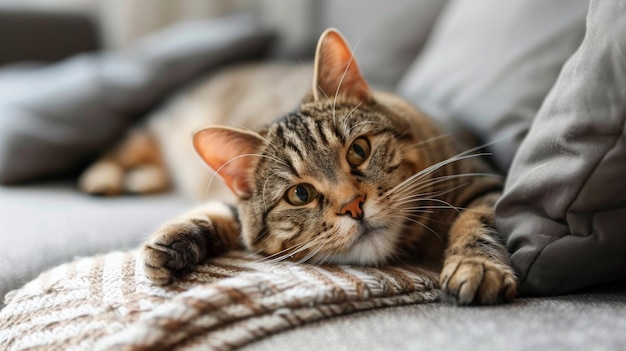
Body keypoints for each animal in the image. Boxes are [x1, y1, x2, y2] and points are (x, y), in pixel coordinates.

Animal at [79, 29, 516, 306]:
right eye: (300, 194)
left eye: (358, 151)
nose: (353, 205)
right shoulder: (236, 204)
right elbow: (221, 213)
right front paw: (173, 242)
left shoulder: (480, 181)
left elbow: (475, 223)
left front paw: (476, 266)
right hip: (154, 129)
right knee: (123, 148)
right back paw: (107, 177)